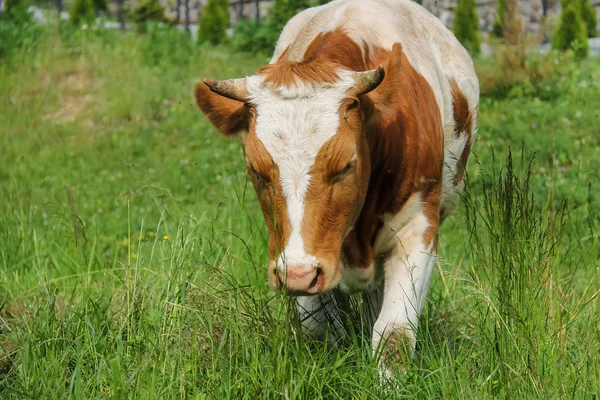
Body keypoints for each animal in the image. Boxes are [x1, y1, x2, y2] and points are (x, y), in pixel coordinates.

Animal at [195, 0, 480, 374]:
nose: (297, 275)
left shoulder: (418, 226)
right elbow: (317, 327)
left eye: (345, 164)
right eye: (255, 169)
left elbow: (393, 334)